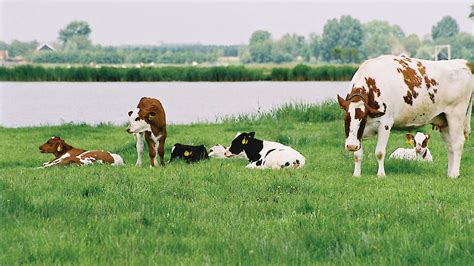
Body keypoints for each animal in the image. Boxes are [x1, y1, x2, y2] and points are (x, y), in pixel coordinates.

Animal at [336, 55, 472, 178]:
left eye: (362, 119)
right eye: (346, 119)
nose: (351, 146)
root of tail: (464, 63)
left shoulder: (385, 123)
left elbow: (379, 152)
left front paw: (381, 175)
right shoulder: (360, 133)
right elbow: (357, 155)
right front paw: (356, 174)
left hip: (456, 115)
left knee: (458, 143)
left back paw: (454, 174)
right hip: (443, 120)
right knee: (450, 146)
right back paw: (450, 173)